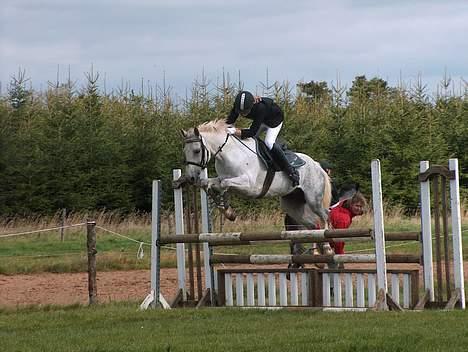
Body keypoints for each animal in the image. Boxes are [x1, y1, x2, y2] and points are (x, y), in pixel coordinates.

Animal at [179, 121, 332, 253]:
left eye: (197, 151)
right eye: (184, 151)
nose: (191, 178)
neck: (230, 154)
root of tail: (317, 165)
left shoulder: (249, 185)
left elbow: (224, 184)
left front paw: (227, 210)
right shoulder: (223, 177)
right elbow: (208, 183)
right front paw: (227, 211)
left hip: (313, 200)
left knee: (324, 216)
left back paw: (327, 247)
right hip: (292, 205)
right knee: (313, 225)